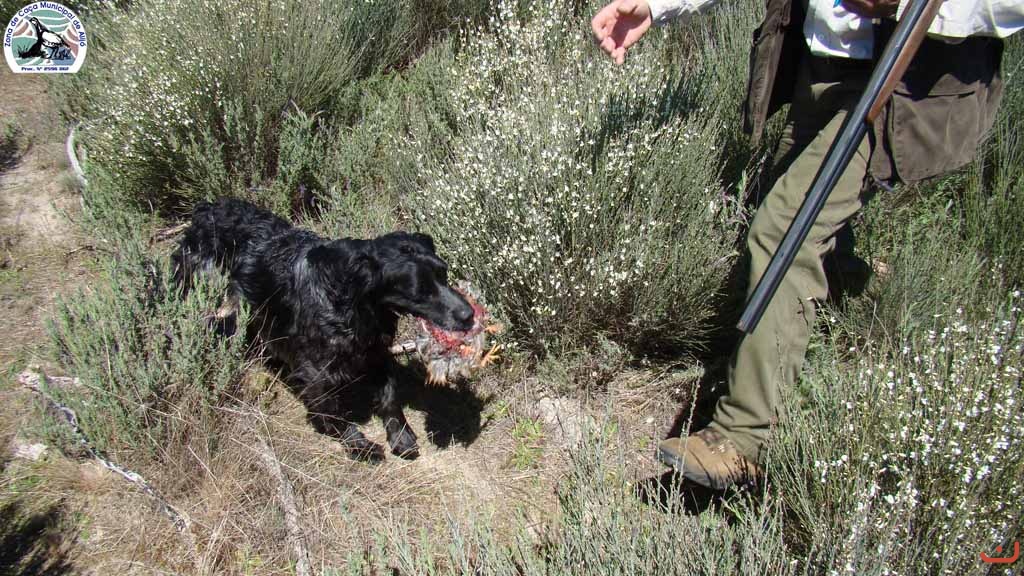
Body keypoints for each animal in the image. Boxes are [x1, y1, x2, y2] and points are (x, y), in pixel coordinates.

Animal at [172, 198, 474, 460]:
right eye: (420, 290)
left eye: (444, 274)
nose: (469, 315)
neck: (351, 298)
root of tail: (206, 209)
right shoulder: (315, 372)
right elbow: (333, 413)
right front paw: (358, 444)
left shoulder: (375, 351)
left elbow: (390, 397)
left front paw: (401, 436)